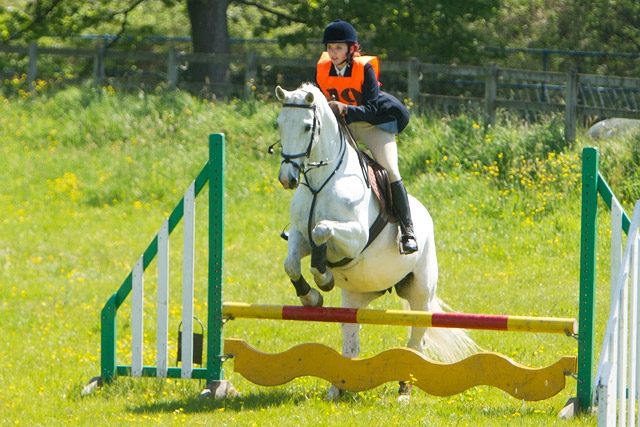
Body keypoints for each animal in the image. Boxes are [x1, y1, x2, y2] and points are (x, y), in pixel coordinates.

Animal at [272, 84, 478, 402]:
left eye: (307, 127)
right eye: (279, 124)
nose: (288, 178)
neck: (321, 182)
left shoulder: (355, 238)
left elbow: (321, 231)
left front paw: (323, 277)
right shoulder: (297, 235)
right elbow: (292, 262)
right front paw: (311, 296)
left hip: (420, 293)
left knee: (416, 338)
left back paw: (404, 391)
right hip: (359, 295)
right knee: (351, 338)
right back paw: (338, 388)